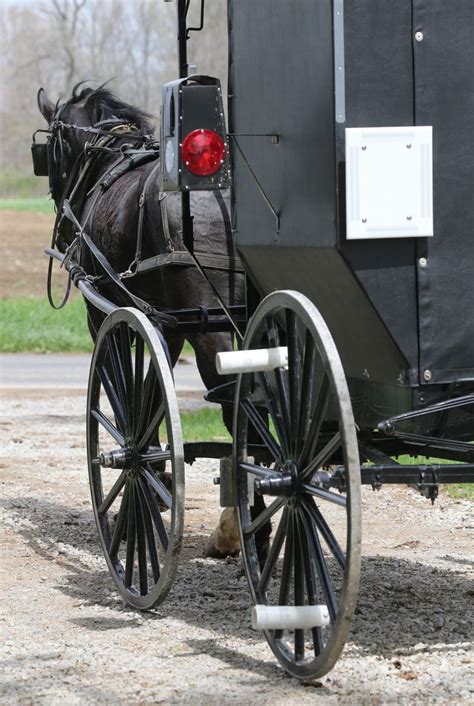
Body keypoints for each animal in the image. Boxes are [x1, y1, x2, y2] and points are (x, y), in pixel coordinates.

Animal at [37, 84, 270, 556]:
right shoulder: (163, 323)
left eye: (49, 148)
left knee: (236, 403)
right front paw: (158, 464)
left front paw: (145, 467)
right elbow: (152, 391)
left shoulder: (103, 317)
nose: (63, 230)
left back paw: (242, 524)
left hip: (214, 330)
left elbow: (127, 392)